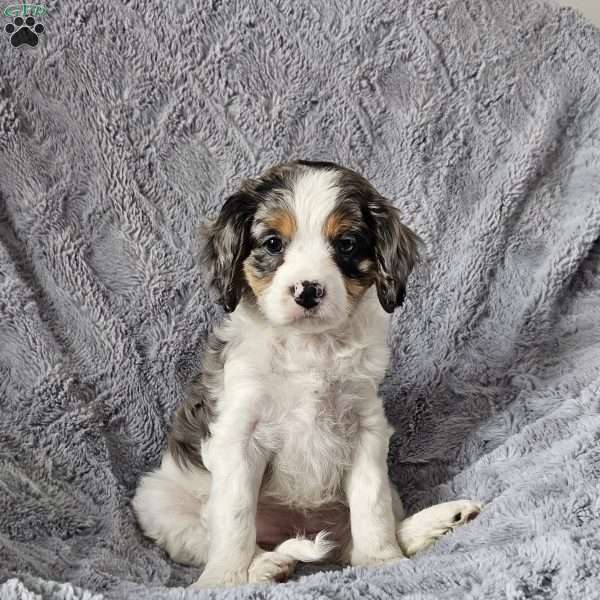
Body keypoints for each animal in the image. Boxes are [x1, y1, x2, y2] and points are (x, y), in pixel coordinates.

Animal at [132, 159, 482, 584]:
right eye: (272, 244)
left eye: (345, 244)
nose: (308, 291)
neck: (309, 347)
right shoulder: (239, 433)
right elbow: (234, 520)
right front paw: (223, 581)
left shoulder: (365, 429)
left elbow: (372, 507)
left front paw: (383, 562)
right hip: (157, 499)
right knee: (214, 535)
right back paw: (265, 565)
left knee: (356, 540)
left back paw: (438, 521)